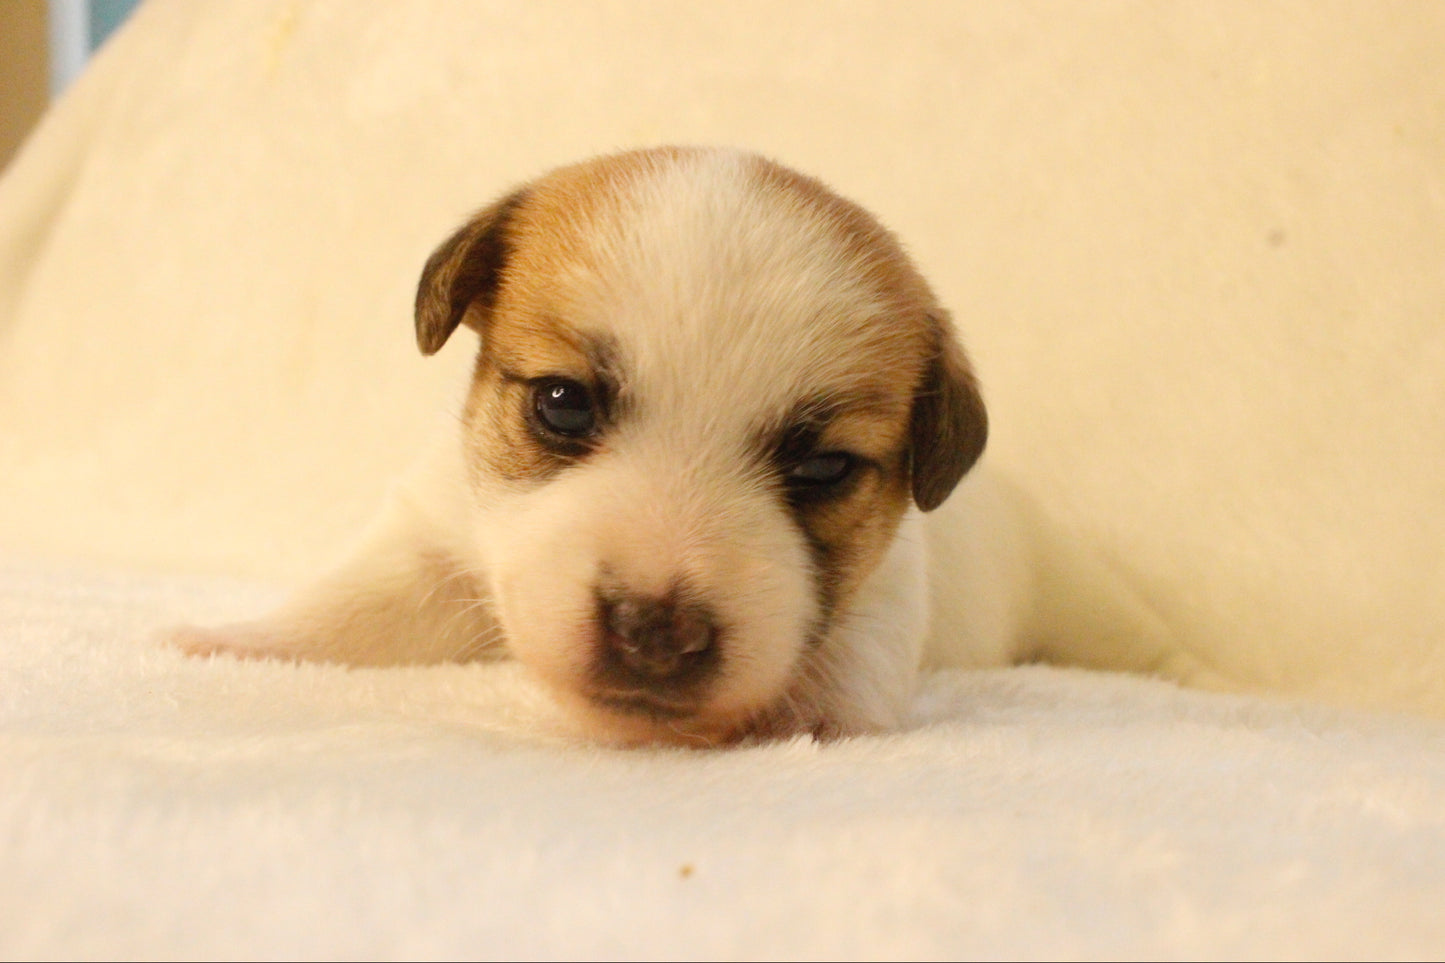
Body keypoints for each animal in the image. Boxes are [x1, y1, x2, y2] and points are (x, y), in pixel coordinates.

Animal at [174, 146, 1202, 740]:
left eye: (822, 466)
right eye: (561, 404)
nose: (655, 631)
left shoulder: (879, 603)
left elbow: (844, 686)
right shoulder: (436, 534)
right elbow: (348, 607)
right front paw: (231, 639)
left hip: (1086, 602)